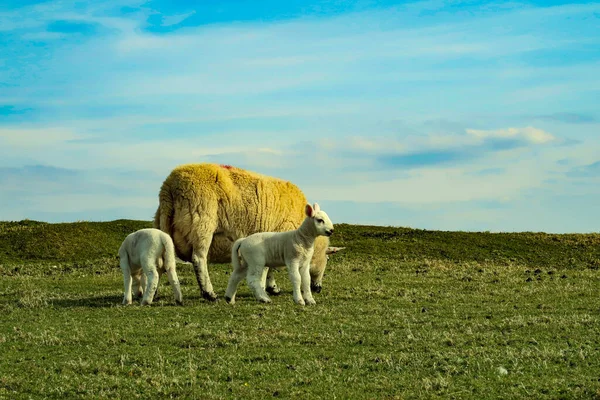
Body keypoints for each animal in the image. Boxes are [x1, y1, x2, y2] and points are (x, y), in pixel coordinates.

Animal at [152, 161, 344, 302]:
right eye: (326, 260)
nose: (318, 288)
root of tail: (169, 188)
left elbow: (270, 266)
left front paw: (271, 287)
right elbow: (270, 268)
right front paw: (269, 287)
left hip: (163, 227)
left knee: (161, 262)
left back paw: (153, 293)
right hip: (201, 225)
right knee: (199, 259)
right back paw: (209, 293)